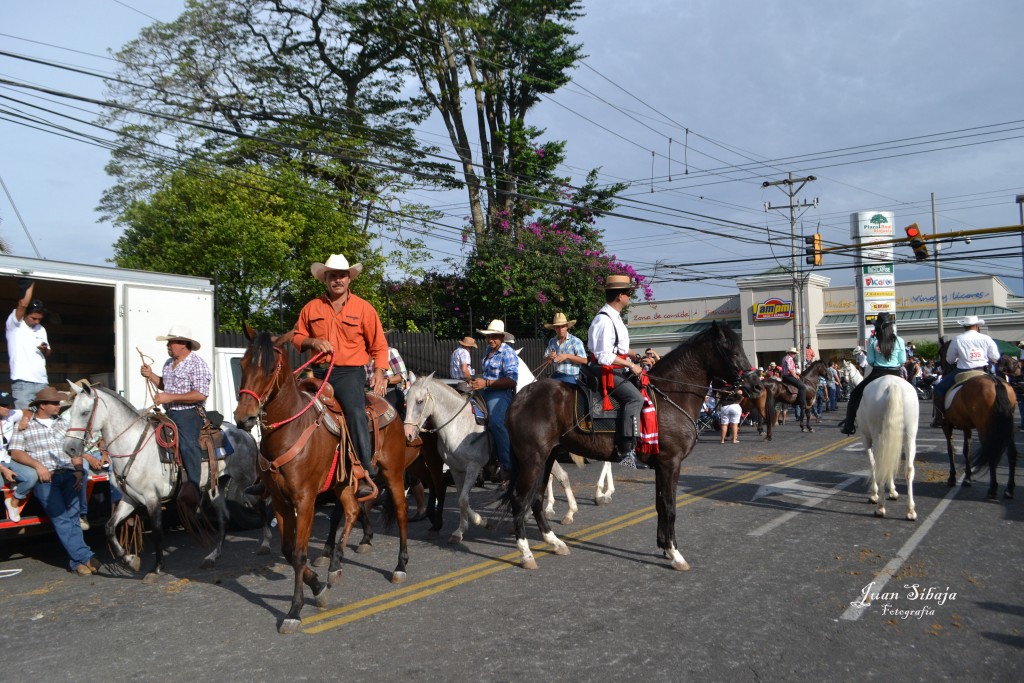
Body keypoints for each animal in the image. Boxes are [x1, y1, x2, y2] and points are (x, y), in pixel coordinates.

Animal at [58, 382, 270, 581]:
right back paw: (212, 557)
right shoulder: (130, 499)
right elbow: (109, 527)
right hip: (216, 486)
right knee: (224, 517)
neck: (134, 446)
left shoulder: (152, 498)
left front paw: (156, 568)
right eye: (71, 411)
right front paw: (130, 560)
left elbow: (158, 532)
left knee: (261, 503)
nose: (69, 449)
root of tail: (244, 433)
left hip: (246, 480)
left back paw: (265, 544)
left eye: (85, 412)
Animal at [234, 327, 417, 634]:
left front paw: (295, 610)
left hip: (392, 472)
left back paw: (400, 566)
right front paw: (318, 586)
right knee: (352, 510)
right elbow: (287, 550)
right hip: (342, 483)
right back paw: (335, 565)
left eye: (271, 368)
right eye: (243, 365)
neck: (291, 429)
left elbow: (298, 553)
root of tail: (386, 404)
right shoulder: (281, 502)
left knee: (401, 512)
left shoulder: (305, 499)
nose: (243, 417)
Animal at [501, 321, 761, 573]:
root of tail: (520, 397)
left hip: (547, 458)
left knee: (536, 499)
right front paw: (675, 554)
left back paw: (554, 542)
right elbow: (670, 507)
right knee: (519, 499)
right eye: (731, 350)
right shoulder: (670, 463)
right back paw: (526, 554)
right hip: (532, 459)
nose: (756, 386)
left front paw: (665, 547)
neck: (671, 396)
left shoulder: (661, 466)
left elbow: (660, 505)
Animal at [856, 376, 921, 520]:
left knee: (879, 465)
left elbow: (873, 464)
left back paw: (880, 506)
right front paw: (892, 491)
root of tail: (893, 384)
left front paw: (874, 495)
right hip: (910, 437)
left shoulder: (866, 438)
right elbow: (890, 464)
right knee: (909, 469)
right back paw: (911, 510)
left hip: (877, 437)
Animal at [937, 339, 1015, 499]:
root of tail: (995, 381)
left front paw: (952, 477)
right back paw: (1009, 489)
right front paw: (967, 477)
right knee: (1010, 453)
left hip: (984, 427)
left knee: (991, 452)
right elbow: (966, 450)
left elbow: (951, 449)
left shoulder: (947, 426)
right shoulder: (966, 426)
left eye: (941, 353)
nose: (940, 369)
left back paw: (992, 489)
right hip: (1007, 427)